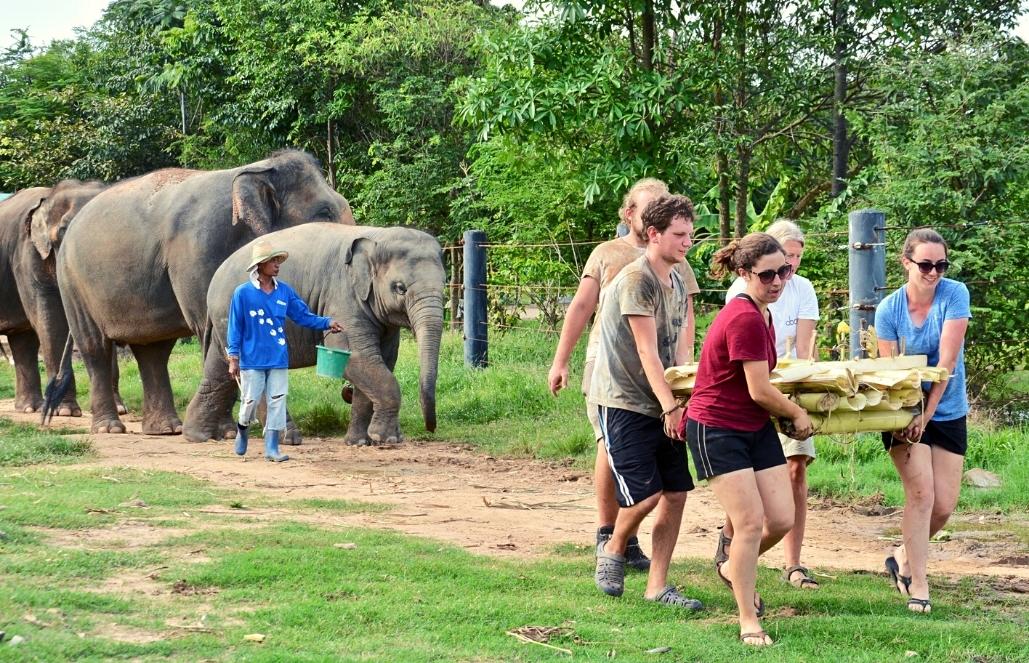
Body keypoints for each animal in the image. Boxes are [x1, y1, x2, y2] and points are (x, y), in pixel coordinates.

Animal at [0, 179, 116, 417]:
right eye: (64, 231)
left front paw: (121, 408)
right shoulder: (28, 254)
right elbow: (51, 319)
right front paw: (66, 411)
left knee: (23, 340)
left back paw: (29, 407)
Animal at [56, 149, 353, 434]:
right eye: (324, 213)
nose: (347, 393)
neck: (257, 168)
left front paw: (229, 431)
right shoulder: (200, 248)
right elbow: (215, 332)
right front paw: (230, 432)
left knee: (153, 351)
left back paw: (167, 429)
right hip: (72, 282)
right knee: (95, 347)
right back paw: (109, 427)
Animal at [183, 225, 444, 448]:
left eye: (445, 282)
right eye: (400, 288)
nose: (431, 428)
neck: (377, 234)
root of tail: (214, 281)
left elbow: (383, 360)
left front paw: (359, 442)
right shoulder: (343, 295)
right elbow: (357, 358)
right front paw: (388, 439)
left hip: (226, 325)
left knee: (220, 369)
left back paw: (199, 436)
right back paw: (288, 439)